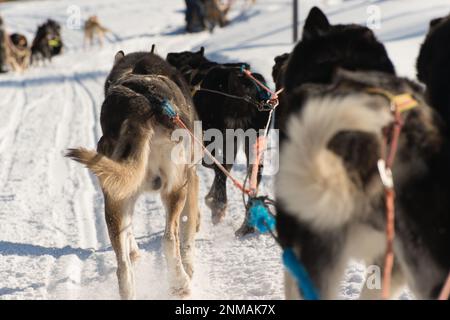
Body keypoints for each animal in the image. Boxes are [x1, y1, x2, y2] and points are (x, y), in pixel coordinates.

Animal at [67, 49, 200, 298]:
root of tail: (140, 108)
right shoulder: (191, 177)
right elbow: (189, 228)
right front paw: (189, 264)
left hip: (114, 197)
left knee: (123, 266)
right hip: (176, 188)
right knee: (169, 238)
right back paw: (180, 283)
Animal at [168, 47, 272, 235]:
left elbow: (218, 167)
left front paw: (212, 199)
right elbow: (227, 166)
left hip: (213, 137)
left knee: (219, 168)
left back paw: (218, 207)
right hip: (254, 141)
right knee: (252, 175)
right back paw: (247, 223)